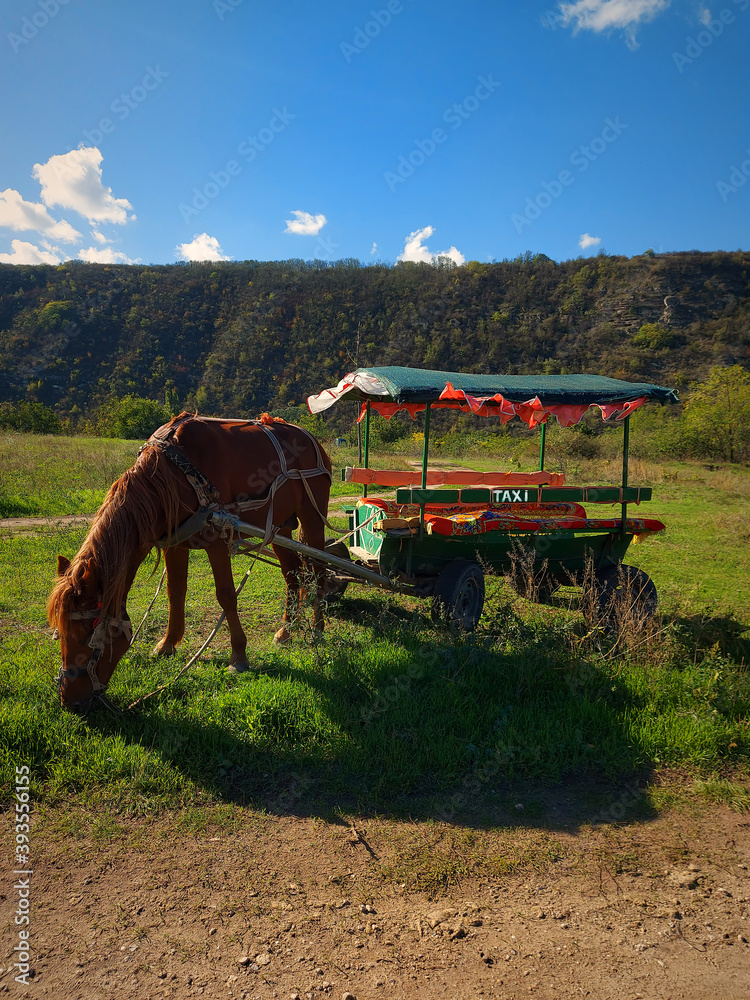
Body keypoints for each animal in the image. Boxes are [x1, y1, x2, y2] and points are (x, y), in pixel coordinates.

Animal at [47, 412, 332, 712]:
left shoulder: (218, 539)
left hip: (312, 518)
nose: (69, 699)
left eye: (85, 633)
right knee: (292, 574)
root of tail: (310, 438)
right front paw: (167, 644)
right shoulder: (174, 545)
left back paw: (318, 629)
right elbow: (175, 592)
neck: (171, 477)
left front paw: (238, 655)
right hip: (279, 526)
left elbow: (226, 596)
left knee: (319, 572)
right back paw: (287, 630)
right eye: (59, 632)